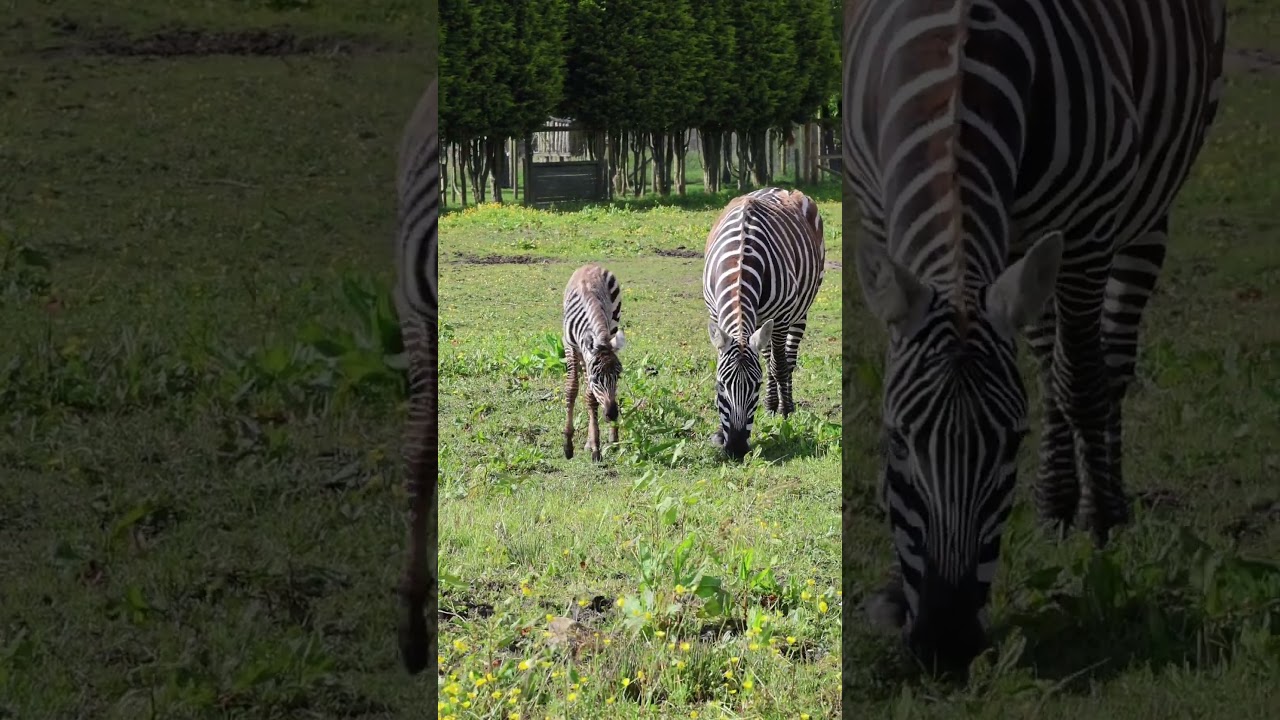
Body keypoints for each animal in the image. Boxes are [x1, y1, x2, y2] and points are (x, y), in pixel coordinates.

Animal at [562, 263, 626, 463]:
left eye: (618, 377)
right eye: (597, 379)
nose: (612, 414)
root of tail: (591, 265)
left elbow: (591, 398)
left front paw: (596, 446)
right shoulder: (569, 345)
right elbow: (572, 388)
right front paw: (568, 444)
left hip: (614, 325)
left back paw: (609, 439)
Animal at [704, 187, 826, 459]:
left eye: (755, 386)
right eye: (720, 386)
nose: (736, 448)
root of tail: (779, 189)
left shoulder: (780, 318)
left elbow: (779, 367)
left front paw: (786, 414)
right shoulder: (715, 313)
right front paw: (719, 433)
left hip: (799, 312)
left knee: (784, 360)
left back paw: (782, 406)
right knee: (769, 356)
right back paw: (771, 406)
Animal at [844, 0, 1226, 671]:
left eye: (1010, 444)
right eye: (897, 441)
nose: (945, 644)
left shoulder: (1088, 227)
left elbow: (1082, 386)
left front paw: (1100, 530)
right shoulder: (879, 209)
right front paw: (893, 590)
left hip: (1145, 211)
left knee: (1102, 366)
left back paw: (1100, 503)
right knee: (1049, 360)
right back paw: (1054, 506)